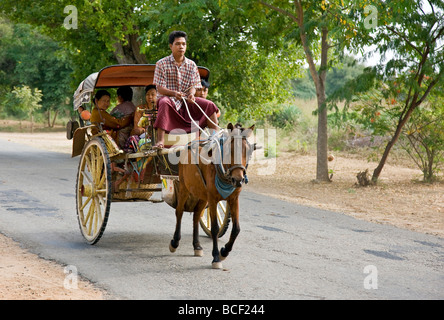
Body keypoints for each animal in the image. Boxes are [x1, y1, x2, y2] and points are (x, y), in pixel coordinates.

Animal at [167, 124, 256, 268]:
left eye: (248, 151)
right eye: (229, 150)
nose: (238, 180)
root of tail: (189, 144)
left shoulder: (233, 199)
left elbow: (236, 229)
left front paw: (224, 252)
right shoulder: (213, 199)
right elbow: (214, 228)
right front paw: (216, 257)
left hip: (202, 195)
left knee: (196, 215)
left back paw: (197, 246)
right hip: (184, 187)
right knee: (179, 211)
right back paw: (175, 242)